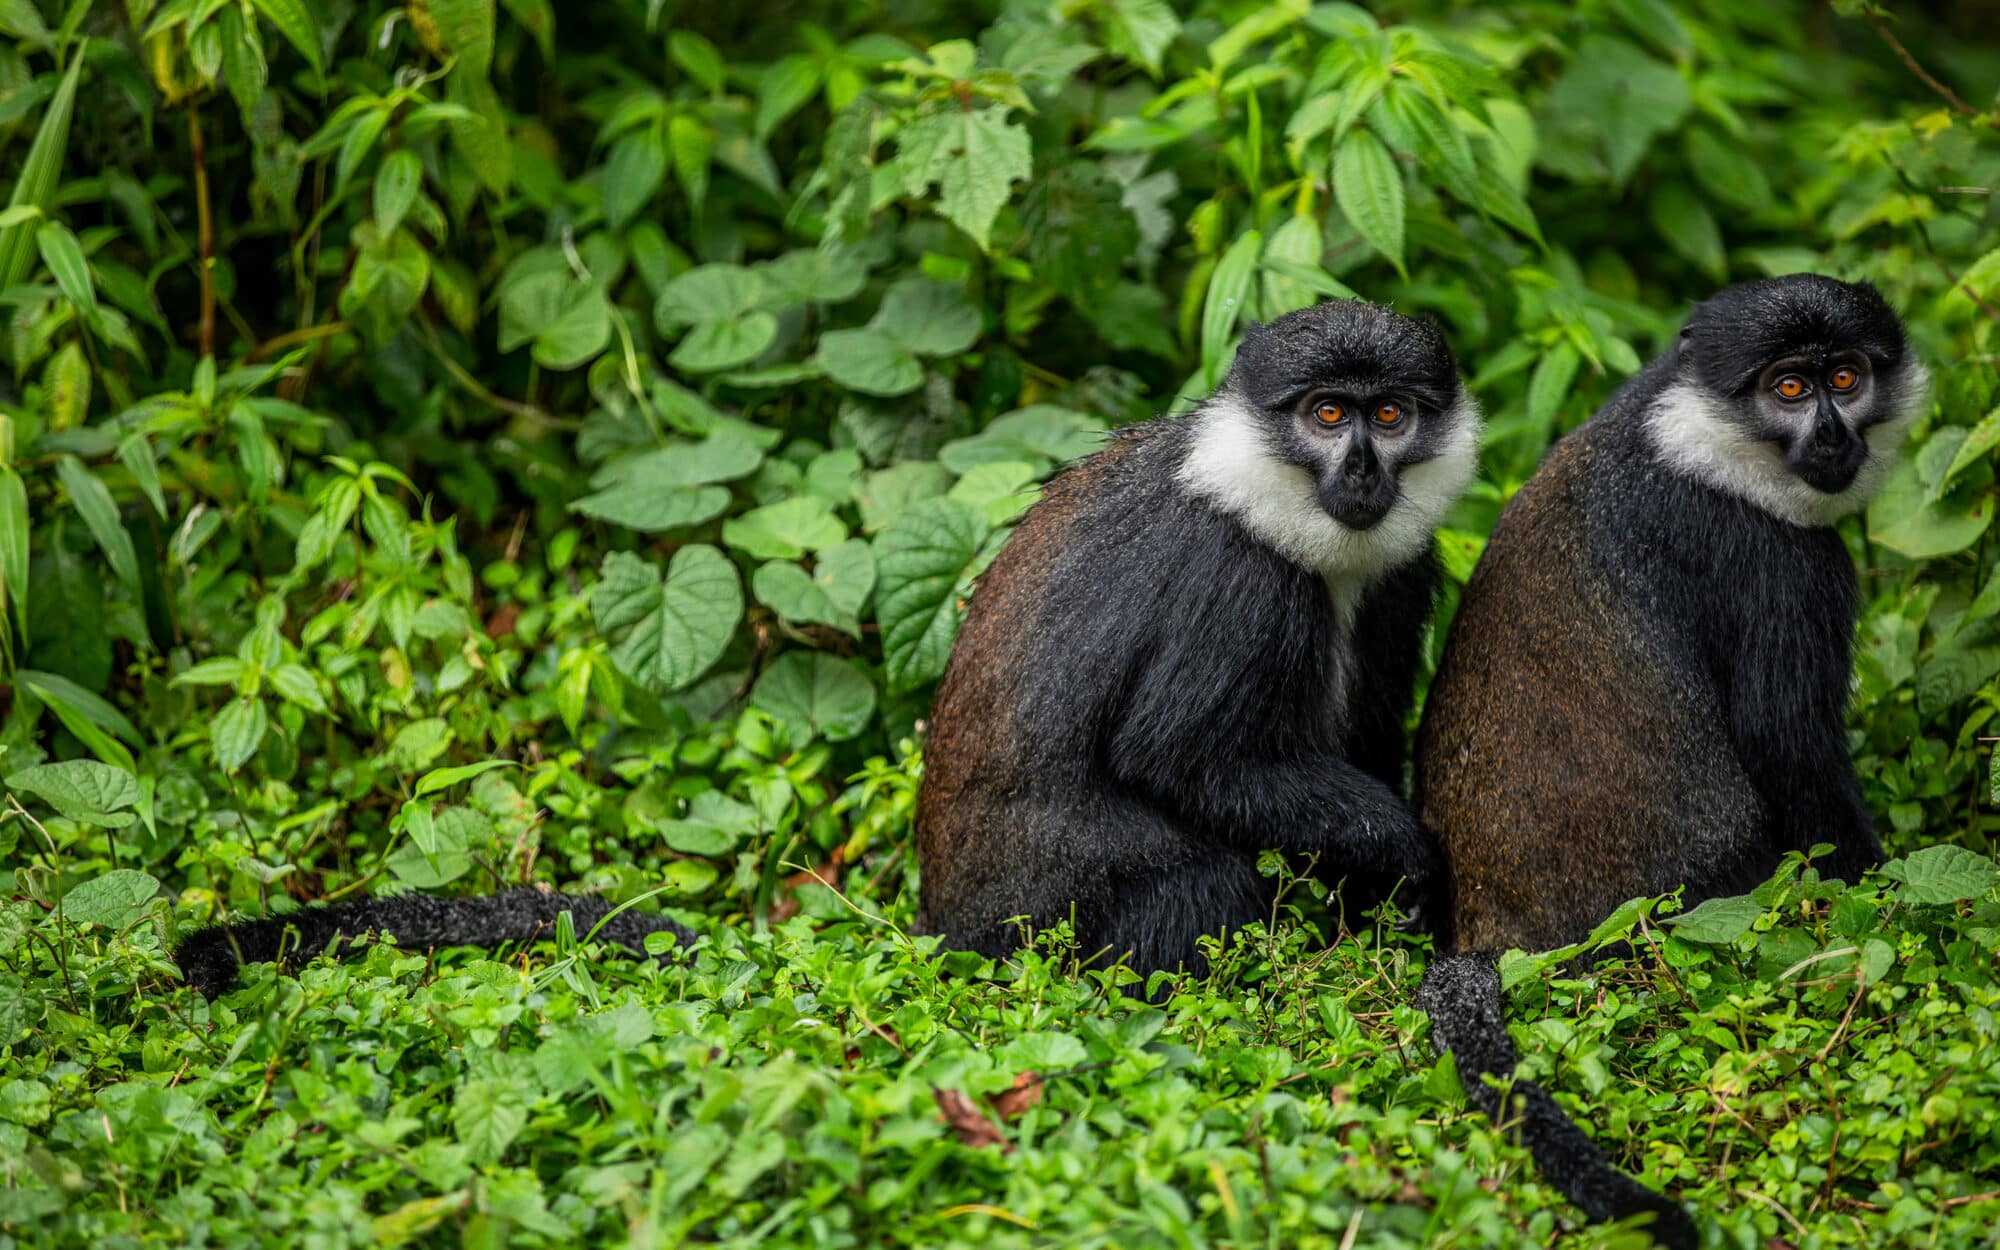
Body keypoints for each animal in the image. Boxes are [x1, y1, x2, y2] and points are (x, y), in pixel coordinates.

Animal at [914, 298, 1481, 979]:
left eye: (1390, 413)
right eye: (1328, 413)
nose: (1362, 468)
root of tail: (948, 933)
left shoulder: (1403, 577)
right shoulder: (1238, 580)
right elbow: (1181, 760)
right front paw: (1405, 851)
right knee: (1198, 886)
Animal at [1411, 274, 1926, 1250]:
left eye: (1845, 376)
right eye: (1789, 389)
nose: (1833, 436)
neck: (1695, 435)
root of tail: (1491, 931)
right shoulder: (1777, 561)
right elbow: (1789, 743)